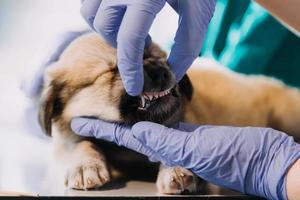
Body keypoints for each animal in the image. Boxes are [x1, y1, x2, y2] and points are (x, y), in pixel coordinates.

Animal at [38, 32, 300, 194]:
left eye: (158, 57)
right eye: (116, 69)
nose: (159, 69)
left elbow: (173, 144)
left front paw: (176, 168)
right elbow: (81, 143)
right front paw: (85, 164)